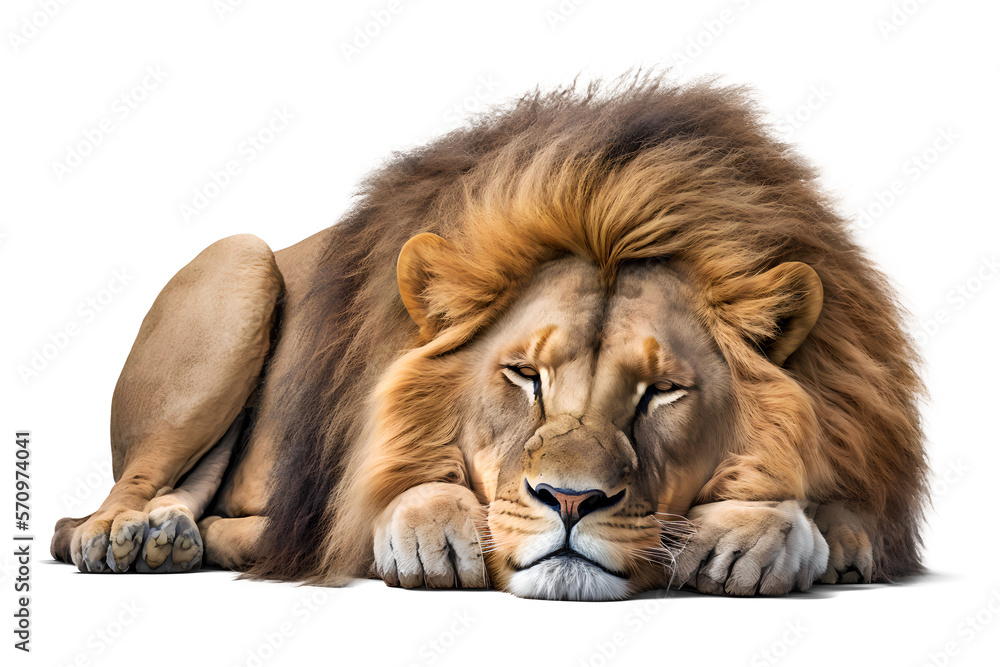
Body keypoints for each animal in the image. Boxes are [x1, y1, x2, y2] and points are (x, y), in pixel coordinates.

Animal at [51, 75, 927, 600]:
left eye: (661, 391)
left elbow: (837, 516)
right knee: (113, 501)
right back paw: (132, 535)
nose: (571, 501)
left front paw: (763, 536)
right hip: (238, 266)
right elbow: (390, 481)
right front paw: (430, 527)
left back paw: (178, 535)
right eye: (523, 376)